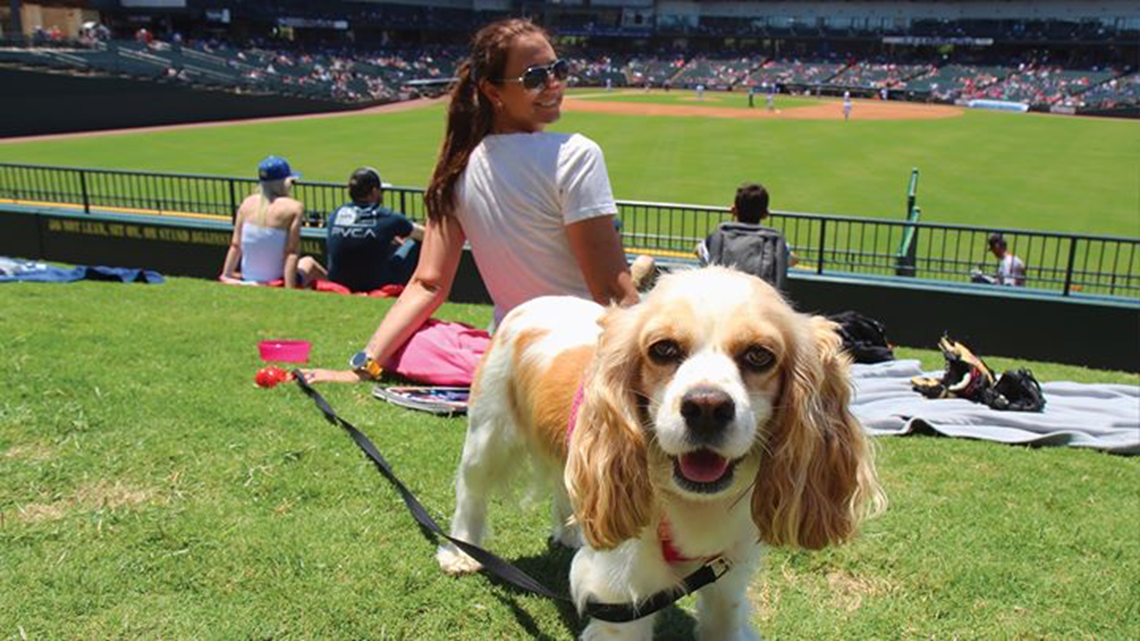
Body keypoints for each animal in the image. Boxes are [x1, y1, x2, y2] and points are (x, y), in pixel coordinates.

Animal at [435, 264, 880, 634]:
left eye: (759, 355)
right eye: (663, 349)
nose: (706, 407)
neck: (692, 506)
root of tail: (536, 301)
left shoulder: (727, 580)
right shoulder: (620, 594)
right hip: (487, 434)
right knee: (470, 491)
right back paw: (460, 552)